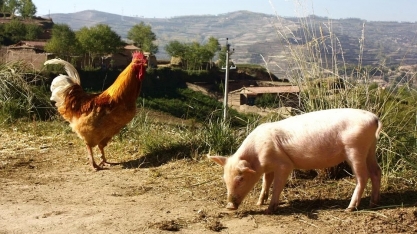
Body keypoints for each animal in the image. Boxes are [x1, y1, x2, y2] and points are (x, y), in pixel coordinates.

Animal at [208, 109, 380, 213]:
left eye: (241, 178)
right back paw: (373, 203)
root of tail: (374, 118)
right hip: (370, 147)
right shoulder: (269, 167)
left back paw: (349, 208)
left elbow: (277, 185)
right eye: (225, 179)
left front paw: (270, 209)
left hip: (355, 149)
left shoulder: (284, 165)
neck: (258, 156)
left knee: (363, 177)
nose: (229, 206)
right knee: (376, 171)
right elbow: (266, 181)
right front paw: (259, 203)